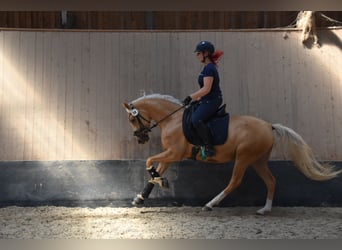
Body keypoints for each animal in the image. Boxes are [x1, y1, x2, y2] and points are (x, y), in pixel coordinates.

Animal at [123, 93, 342, 214]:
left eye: (132, 119)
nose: (140, 138)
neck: (173, 119)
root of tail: (269, 126)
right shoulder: (169, 154)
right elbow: (153, 173)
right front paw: (142, 196)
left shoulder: (174, 153)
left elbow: (149, 161)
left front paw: (160, 182)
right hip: (258, 160)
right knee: (271, 181)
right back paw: (265, 209)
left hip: (244, 158)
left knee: (234, 182)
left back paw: (210, 204)